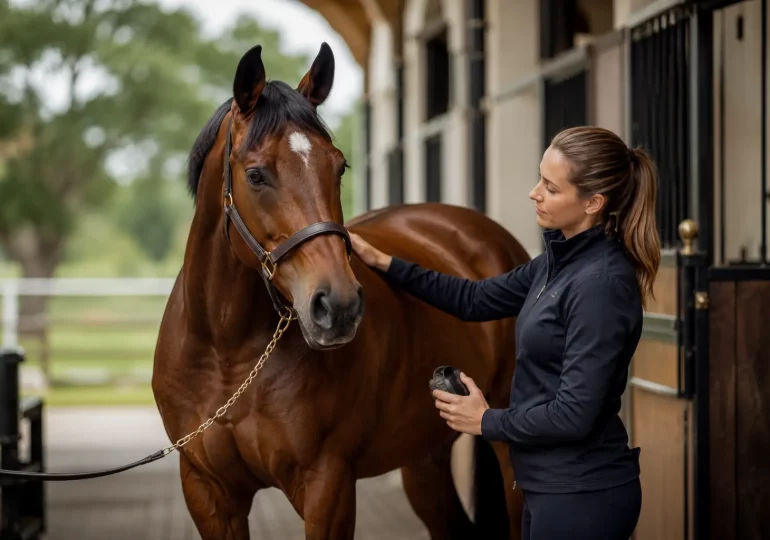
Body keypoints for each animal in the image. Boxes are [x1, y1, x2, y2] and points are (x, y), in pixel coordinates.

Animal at [152, 42, 530, 540]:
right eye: (255, 175)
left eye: (340, 166)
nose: (339, 306)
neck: (227, 355)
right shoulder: (207, 490)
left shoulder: (327, 485)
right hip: (424, 456)